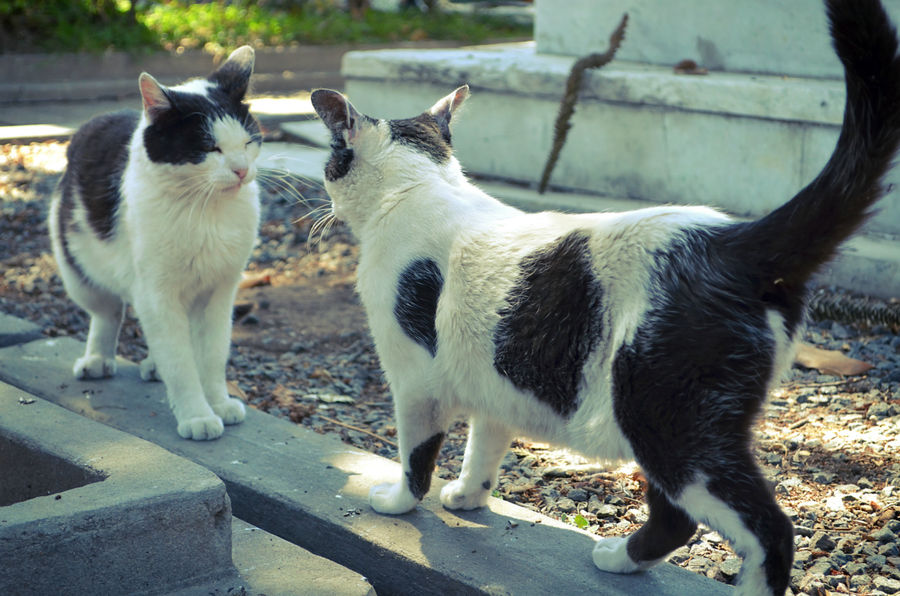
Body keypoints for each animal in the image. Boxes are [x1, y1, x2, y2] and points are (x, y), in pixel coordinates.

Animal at [49, 46, 262, 440]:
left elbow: (212, 354)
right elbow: (179, 360)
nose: (242, 170)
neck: (205, 210)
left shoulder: (220, 292)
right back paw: (98, 359)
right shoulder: (157, 292)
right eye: (210, 147)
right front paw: (197, 415)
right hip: (78, 270)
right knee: (108, 312)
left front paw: (219, 403)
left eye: (248, 141)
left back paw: (151, 365)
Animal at [312, 2, 900, 592]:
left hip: (668, 424)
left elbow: (416, 455)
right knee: (680, 518)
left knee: (762, 527)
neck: (419, 188)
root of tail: (732, 240)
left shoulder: (416, 381)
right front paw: (468, 496)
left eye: (330, 162)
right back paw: (622, 558)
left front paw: (399, 502)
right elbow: (484, 445)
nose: (325, 194)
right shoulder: (493, 380)